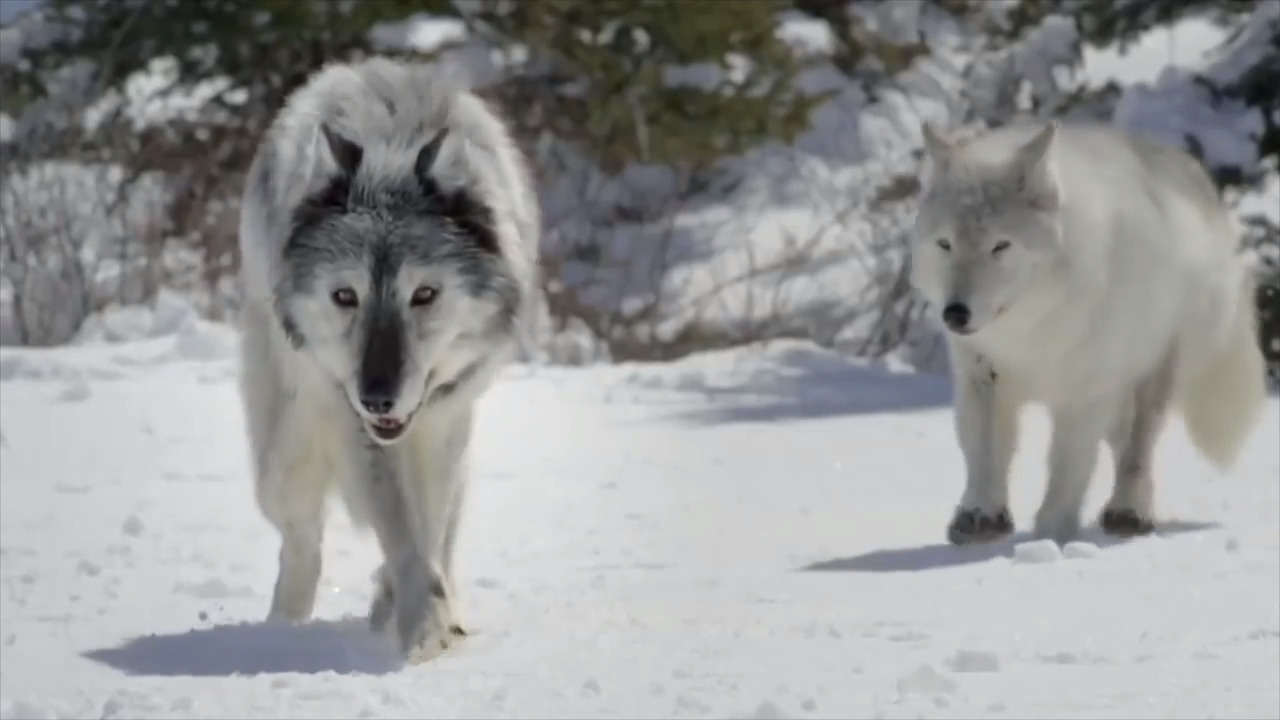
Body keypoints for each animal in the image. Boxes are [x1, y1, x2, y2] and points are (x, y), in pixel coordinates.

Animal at [236, 57, 540, 663]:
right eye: (344, 296)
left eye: (423, 294)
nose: (376, 397)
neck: (390, 151)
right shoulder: (352, 419)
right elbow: (401, 529)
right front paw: (422, 626)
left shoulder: (444, 421)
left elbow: (428, 530)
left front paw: (421, 613)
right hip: (285, 457)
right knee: (301, 540)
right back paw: (285, 626)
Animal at [909, 119, 1267, 546]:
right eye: (945, 244)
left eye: (1000, 246)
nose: (955, 313)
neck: (1027, 330)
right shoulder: (982, 377)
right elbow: (984, 454)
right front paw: (981, 517)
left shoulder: (1083, 395)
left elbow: (1067, 467)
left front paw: (1050, 535)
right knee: (1123, 446)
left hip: (1151, 377)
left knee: (1138, 451)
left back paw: (1129, 513)